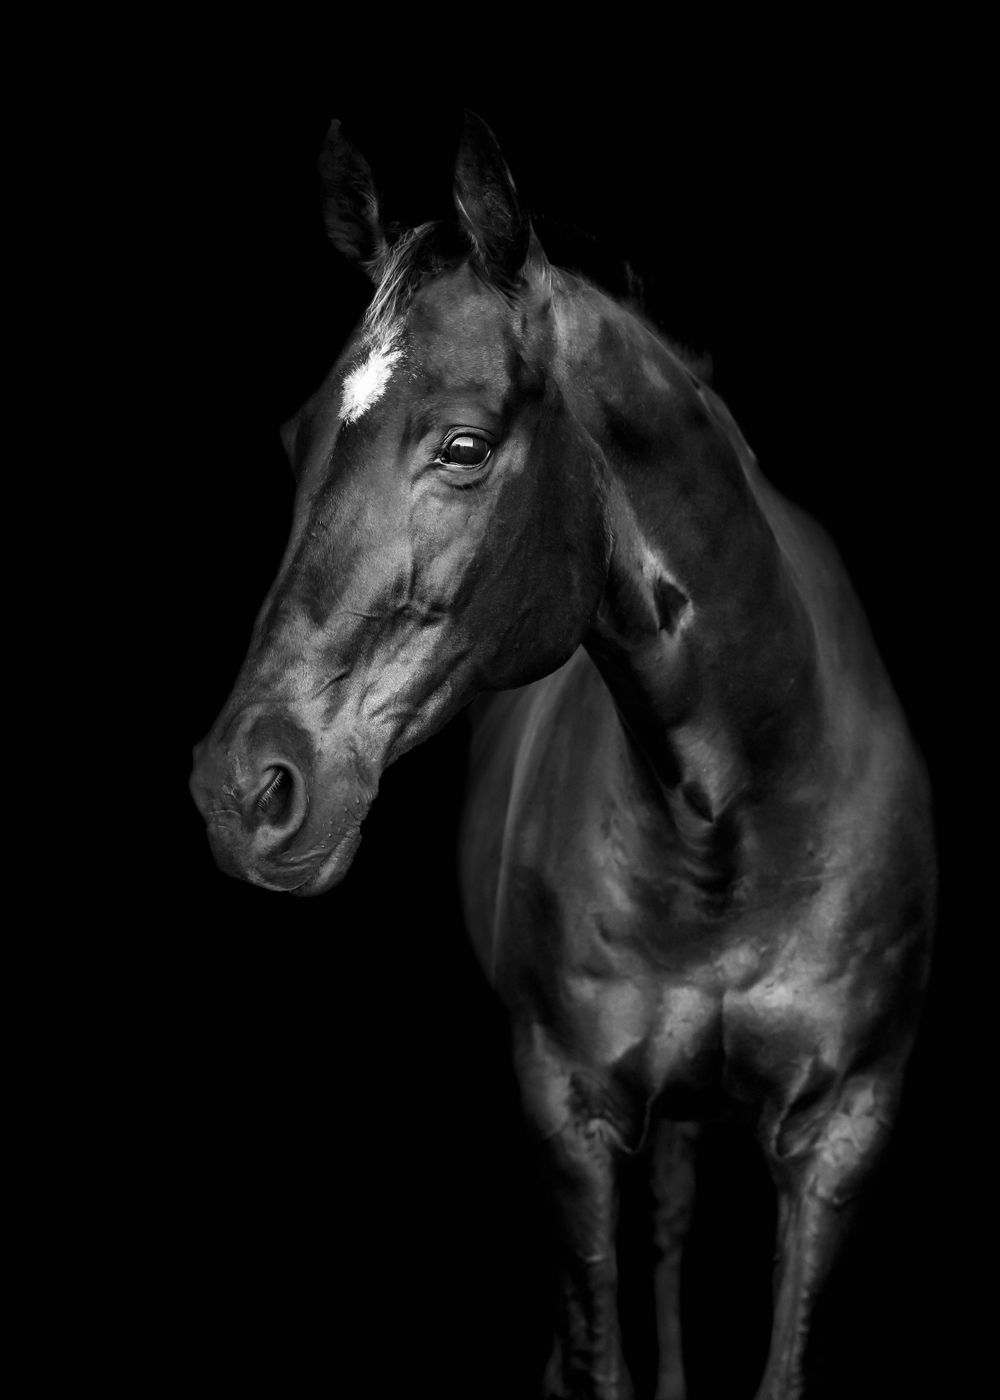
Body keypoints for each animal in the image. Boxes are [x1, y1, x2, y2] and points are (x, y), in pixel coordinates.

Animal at [189, 112, 935, 1400]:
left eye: (465, 443)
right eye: (294, 436)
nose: (243, 789)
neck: (738, 811)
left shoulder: (842, 1127)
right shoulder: (568, 1114)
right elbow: (603, 1342)